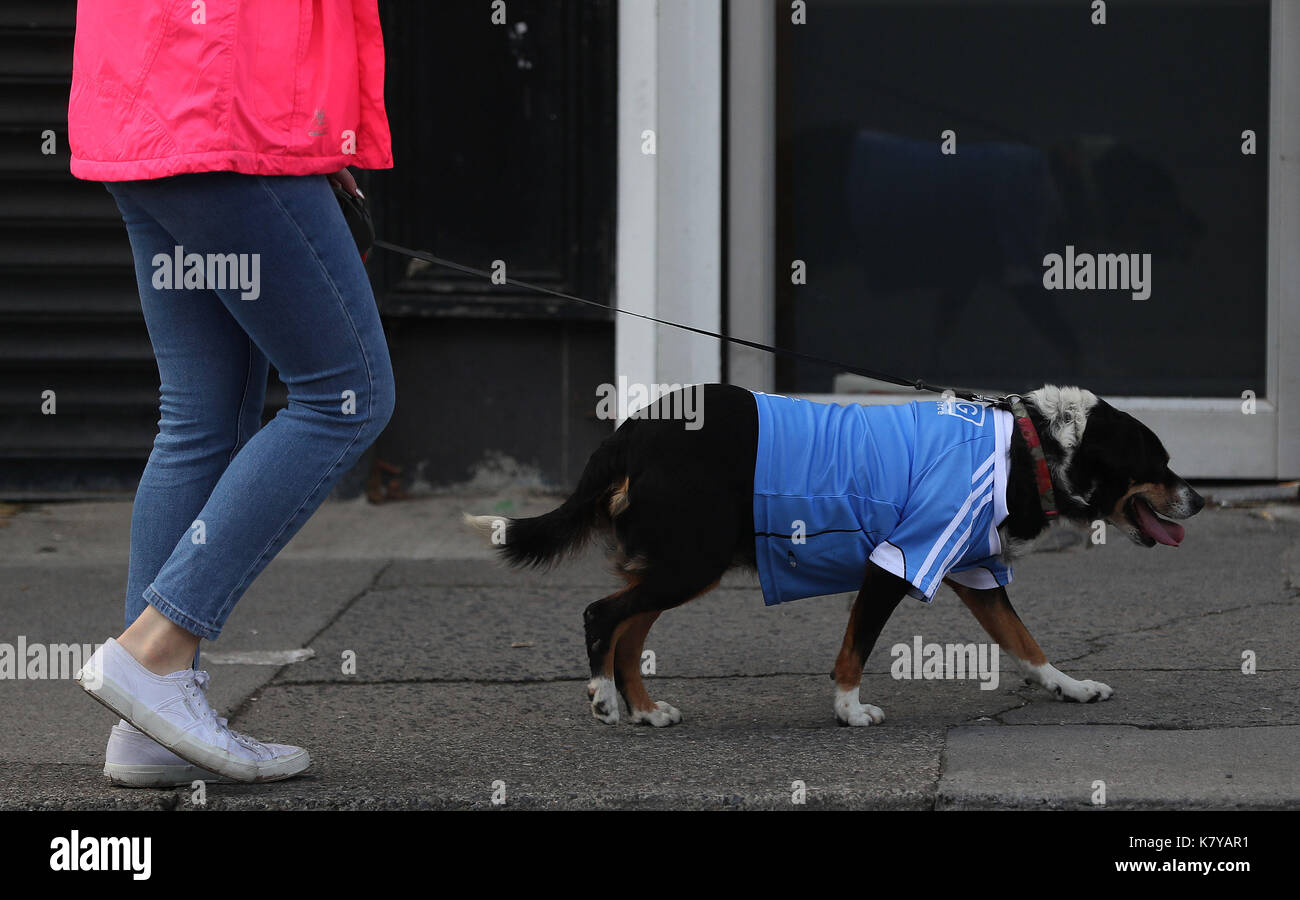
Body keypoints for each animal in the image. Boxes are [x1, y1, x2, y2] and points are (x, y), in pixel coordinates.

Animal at [465, 382, 1196, 728]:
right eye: (1156, 463)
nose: (1197, 499)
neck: (1029, 444)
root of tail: (632, 431)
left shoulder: (972, 573)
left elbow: (1027, 644)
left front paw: (1070, 687)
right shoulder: (896, 562)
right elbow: (855, 650)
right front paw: (849, 710)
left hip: (678, 564)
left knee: (628, 629)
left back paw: (643, 709)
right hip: (689, 562)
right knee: (602, 617)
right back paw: (603, 699)